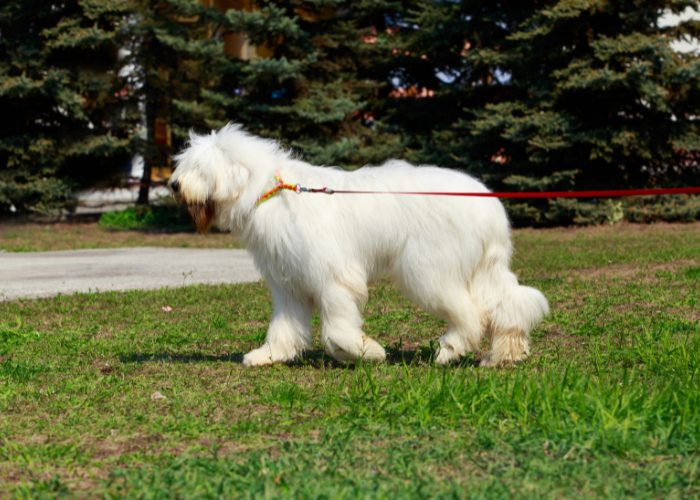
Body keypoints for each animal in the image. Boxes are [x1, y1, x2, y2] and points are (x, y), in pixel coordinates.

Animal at [170, 125, 548, 368]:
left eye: (199, 169)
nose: (173, 184)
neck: (270, 193)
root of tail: (490, 207)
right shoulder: (289, 282)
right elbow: (284, 326)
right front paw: (269, 355)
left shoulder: (332, 275)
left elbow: (337, 328)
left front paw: (365, 352)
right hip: (480, 267)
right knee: (511, 303)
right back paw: (503, 356)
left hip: (427, 270)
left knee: (471, 313)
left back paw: (449, 351)